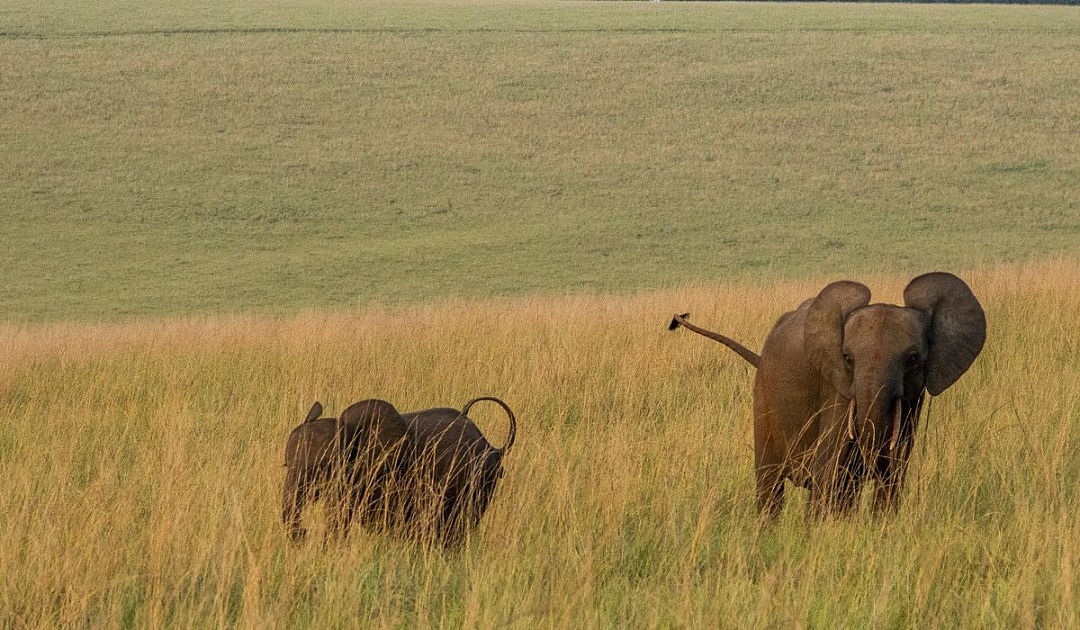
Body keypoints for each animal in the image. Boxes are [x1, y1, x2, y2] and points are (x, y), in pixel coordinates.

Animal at [669, 272, 986, 519]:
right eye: (847, 357)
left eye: (913, 358)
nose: (871, 465)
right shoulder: (837, 391)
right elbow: (829, 469)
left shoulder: (911, 401)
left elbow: (894, 472)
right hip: (763, 396)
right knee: (770, 482)